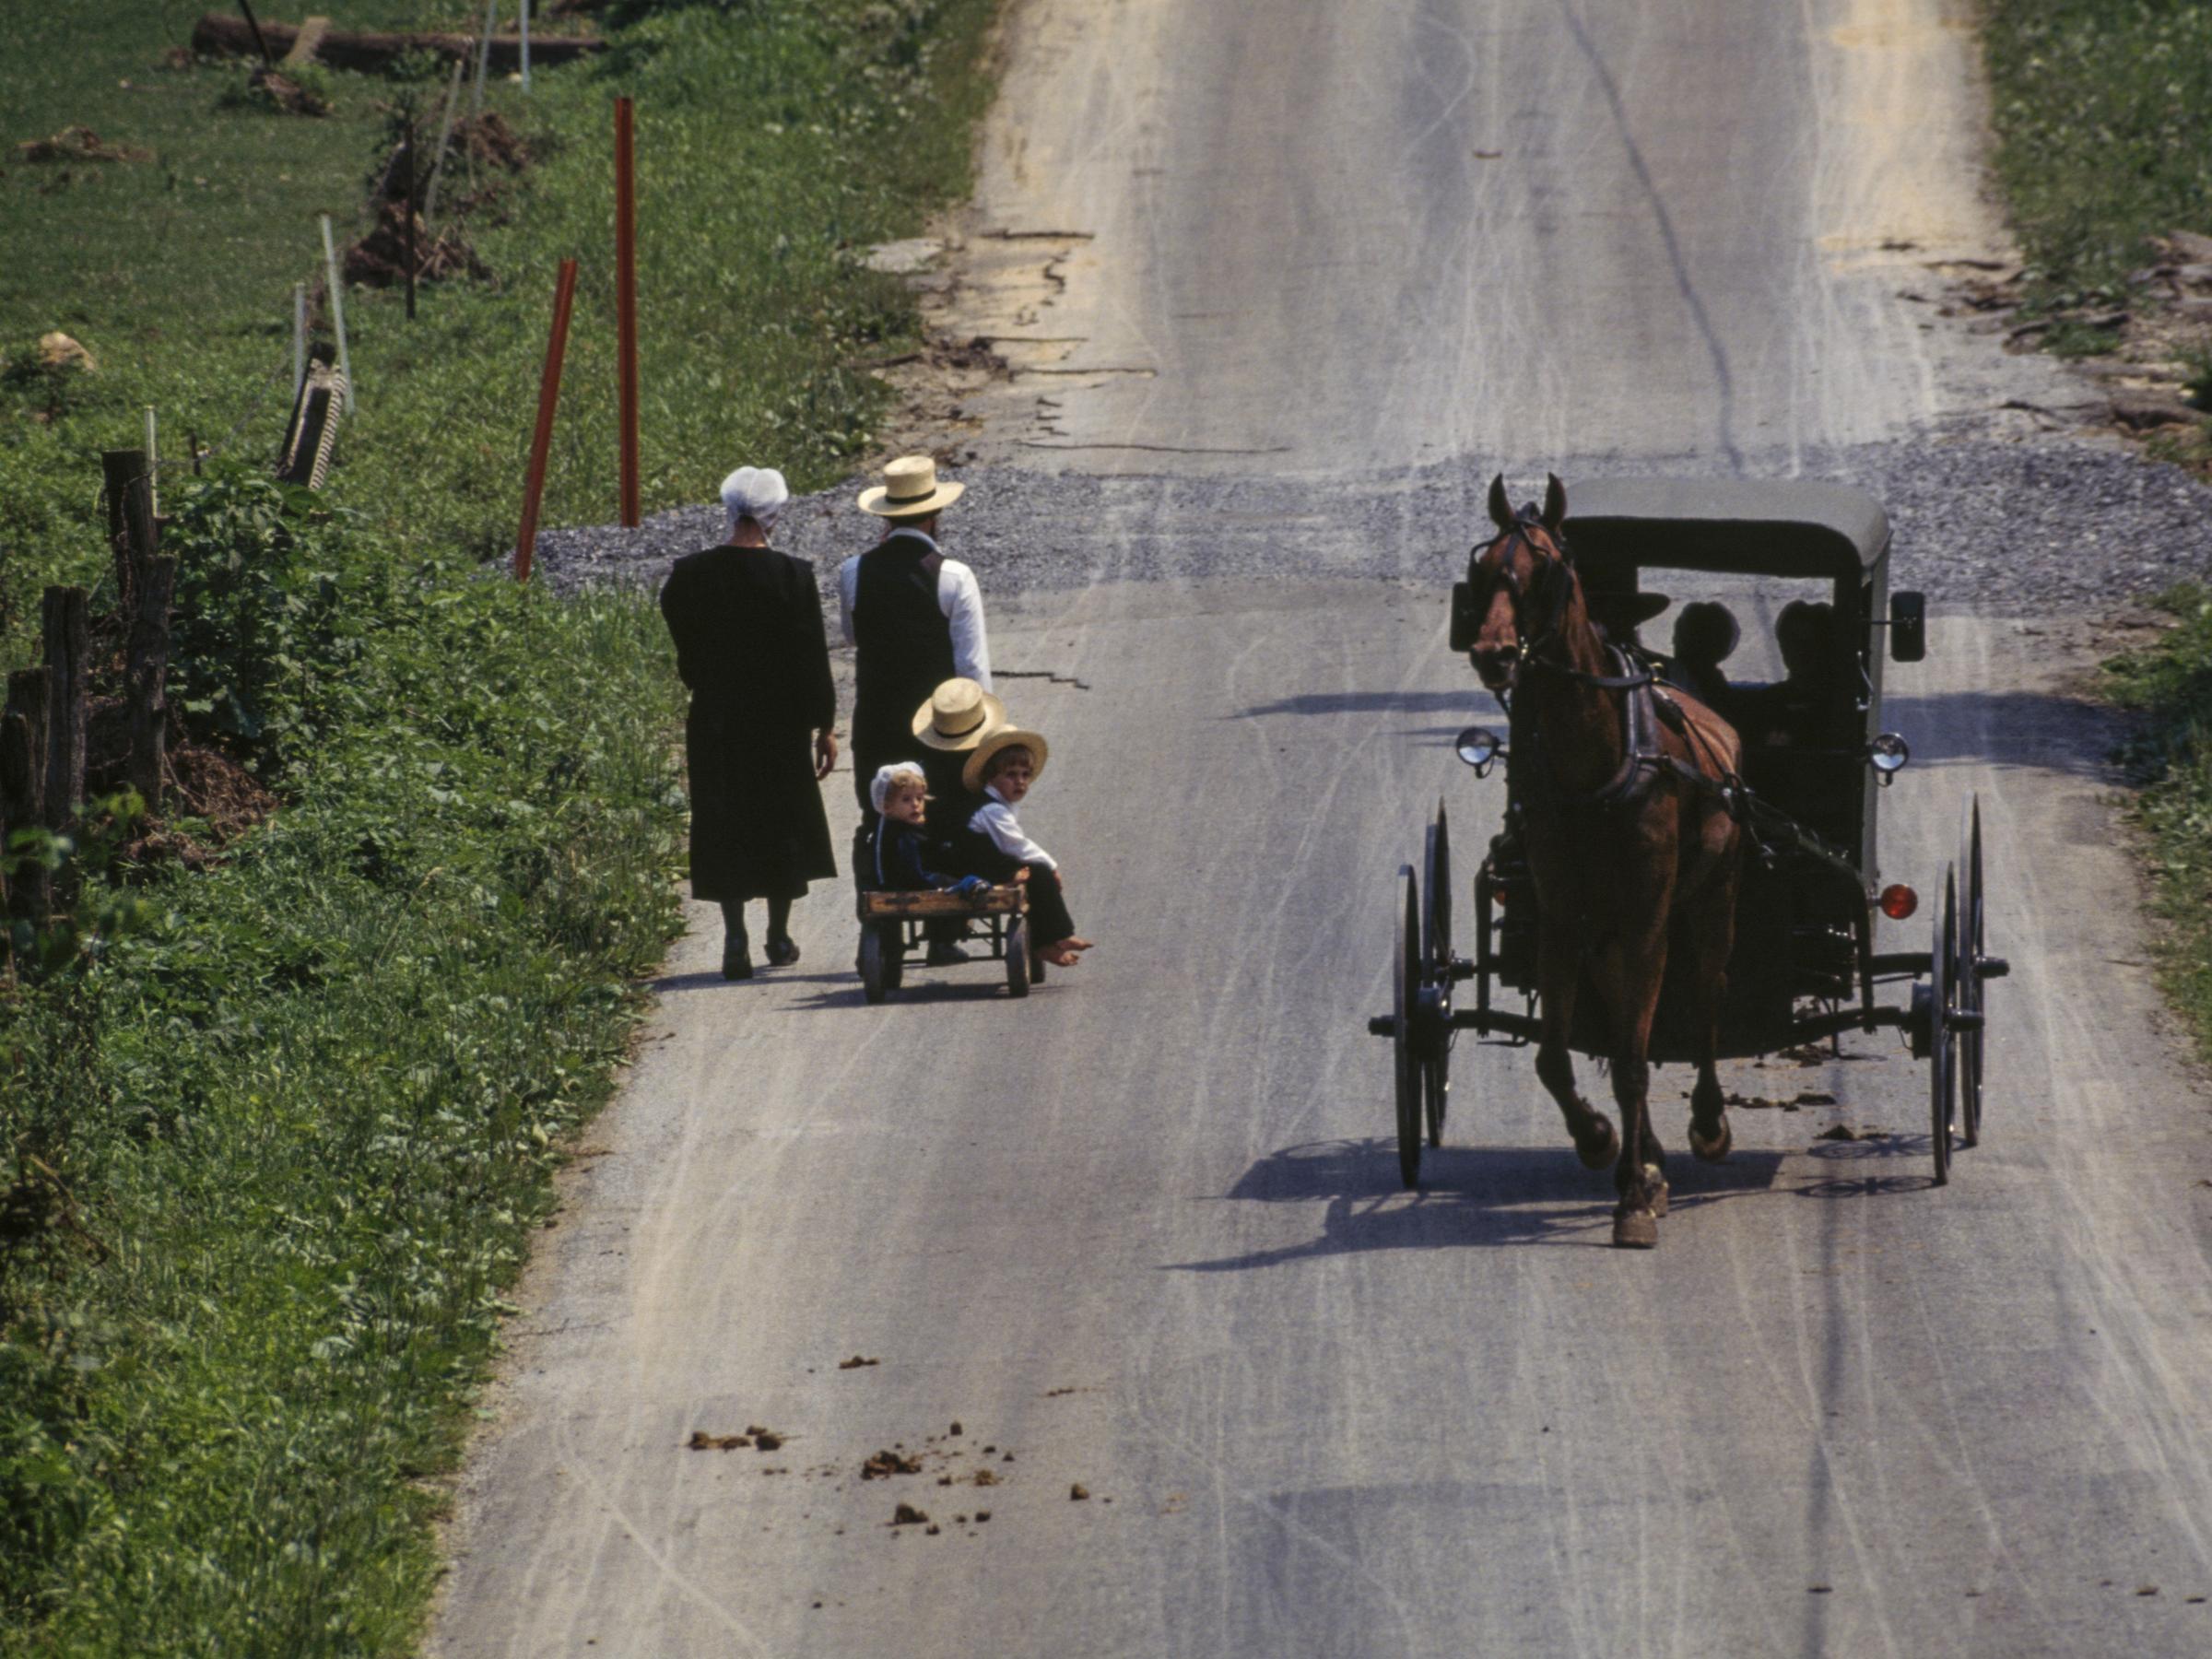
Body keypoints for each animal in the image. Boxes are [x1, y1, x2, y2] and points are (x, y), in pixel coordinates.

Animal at [1468, 471, 1743, 1247]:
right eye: (1482, 566)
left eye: (1548, 569)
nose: (1494, 653)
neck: (1596, 759)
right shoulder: (1564, 919)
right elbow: (1556, 1057)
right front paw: (1602, 1142)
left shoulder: (1649, 916)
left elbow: (1631, 1061)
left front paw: (1635, 1197)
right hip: (1607, 937)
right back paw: (1644, 1155)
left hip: (1709, 901)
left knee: (1705, 1000)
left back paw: (1706, 1126)